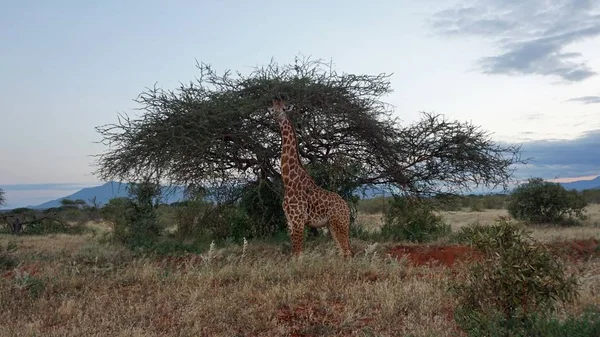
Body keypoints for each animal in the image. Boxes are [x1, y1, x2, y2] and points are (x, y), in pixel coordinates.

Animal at [270, 96, 354, 256]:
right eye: (272, 109)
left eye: (283, 108)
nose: (276, 116)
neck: (289, 182)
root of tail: (347, 208)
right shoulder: (290, 221)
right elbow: (294, 253)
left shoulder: (298, 220)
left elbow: (298, 254)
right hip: (333, 226)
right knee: (343, 251)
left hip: (339, 224)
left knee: (347, 252)